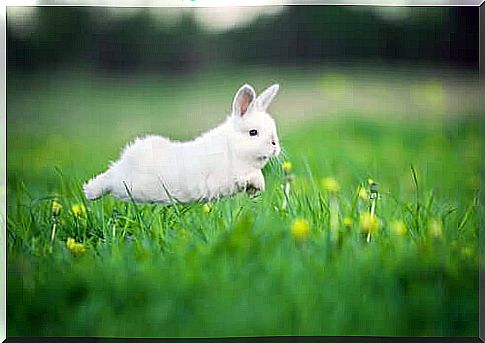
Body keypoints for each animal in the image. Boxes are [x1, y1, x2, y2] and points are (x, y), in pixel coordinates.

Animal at [83, 83, 280, 203]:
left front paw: (256, 190)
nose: (274, 146)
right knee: (109, 179)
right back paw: (89, 192)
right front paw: (258, 184)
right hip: (128, 184)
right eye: (253, 132)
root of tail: (128, 157)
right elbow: (249, 175)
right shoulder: (225, 178)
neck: (232, 148)